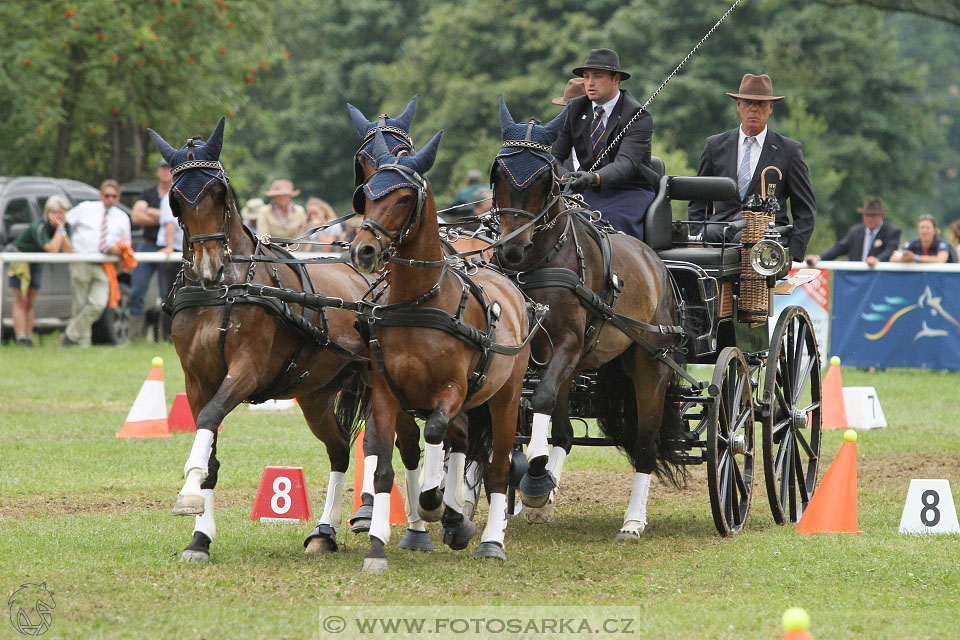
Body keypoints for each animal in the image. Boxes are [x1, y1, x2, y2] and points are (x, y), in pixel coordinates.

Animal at [147, 119, 432, 560]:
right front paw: (200, 537)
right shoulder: (196, 380)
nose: (210, 266)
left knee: (405, 445)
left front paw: (188, 491)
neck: (225, 290)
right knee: (339, 449)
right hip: (315, 393)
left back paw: (416, 525)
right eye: (176, 198)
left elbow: (210, 418)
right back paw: (324, 532)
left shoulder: (247, 370)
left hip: (386, 382)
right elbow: (210, 449)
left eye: (219, 193)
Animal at [352, 127, 532, 572]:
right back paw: (457, 520)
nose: (363, 250)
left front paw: (434, 504)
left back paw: (489, 540)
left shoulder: (452, 390)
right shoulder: (387, 393)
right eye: (367, 193)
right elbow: (384, 469)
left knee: (498, 465)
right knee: (463, 439)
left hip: (505, 396)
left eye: (403, 198)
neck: (418, 303)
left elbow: (435, 432)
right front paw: (377, 547)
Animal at [492, 99, 688, 540]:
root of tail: (658, 263)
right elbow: (529, 411)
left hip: (649, 364)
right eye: (498, 173)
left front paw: (534, 476)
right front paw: (533, 486)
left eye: (544, 178)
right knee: (565, 433)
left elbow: (540, 401)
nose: (511, 249)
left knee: (646, 444)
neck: (542, 260)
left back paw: (633, 521)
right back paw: (543, 495)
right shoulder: (530, 350)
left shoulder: (567, 342)